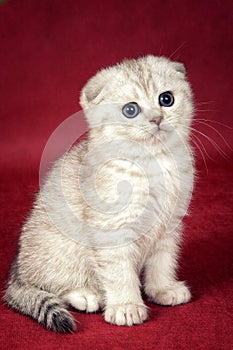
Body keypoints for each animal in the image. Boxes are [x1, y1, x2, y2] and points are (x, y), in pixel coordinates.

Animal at [4, 56, 195, 332]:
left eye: (166, 99)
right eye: (130, 110)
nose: (157, 118)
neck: (153, 161)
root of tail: (16, 271)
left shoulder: (168, 226)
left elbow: (163, 261)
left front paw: (163, 288)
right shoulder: (112, 230)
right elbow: (119, 272)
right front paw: (126, 306)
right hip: (62, 251)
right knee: (51, 284)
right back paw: (86, 295)